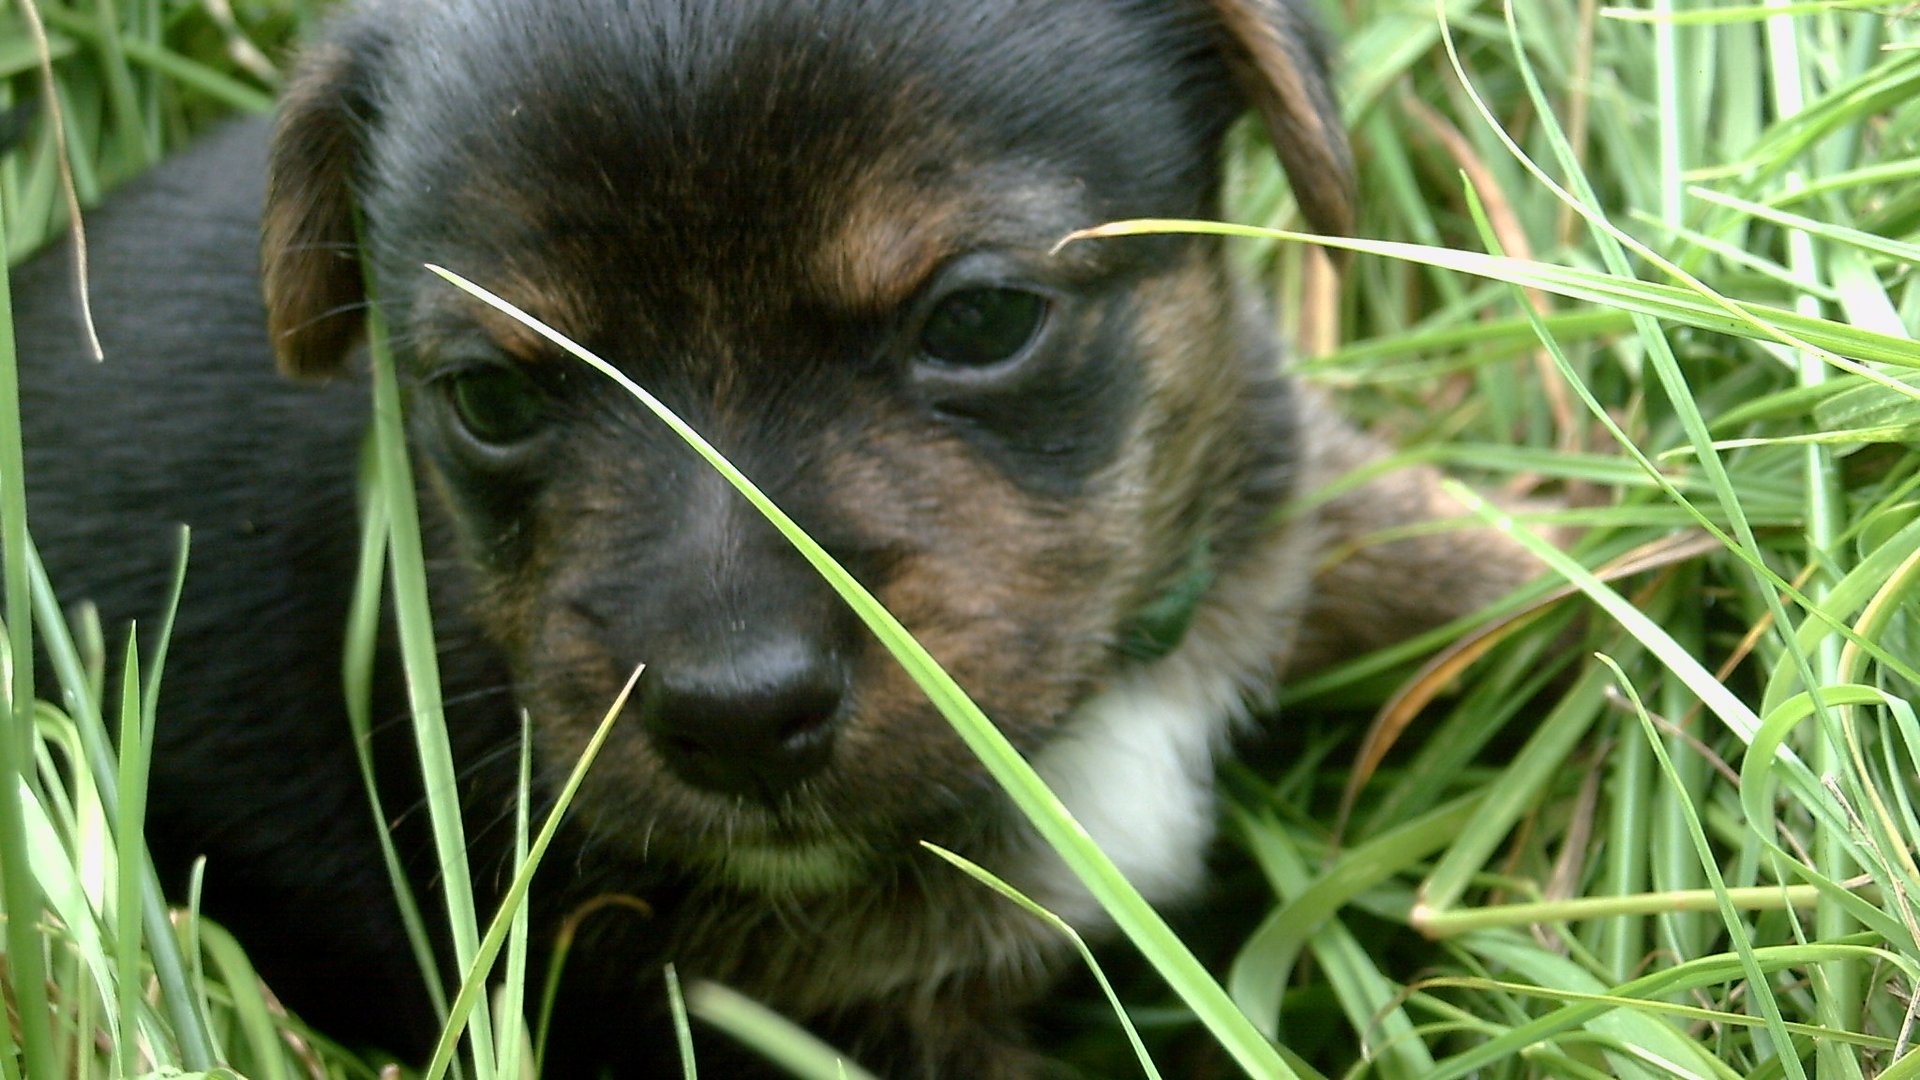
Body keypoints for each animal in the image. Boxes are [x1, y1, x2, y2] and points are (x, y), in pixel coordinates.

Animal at [15, 4, 1543, 1068]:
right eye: (492, 399)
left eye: (980, 318)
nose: (738, 720)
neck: (1087, 703)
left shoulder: (1280, 504)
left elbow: (1472, 549)